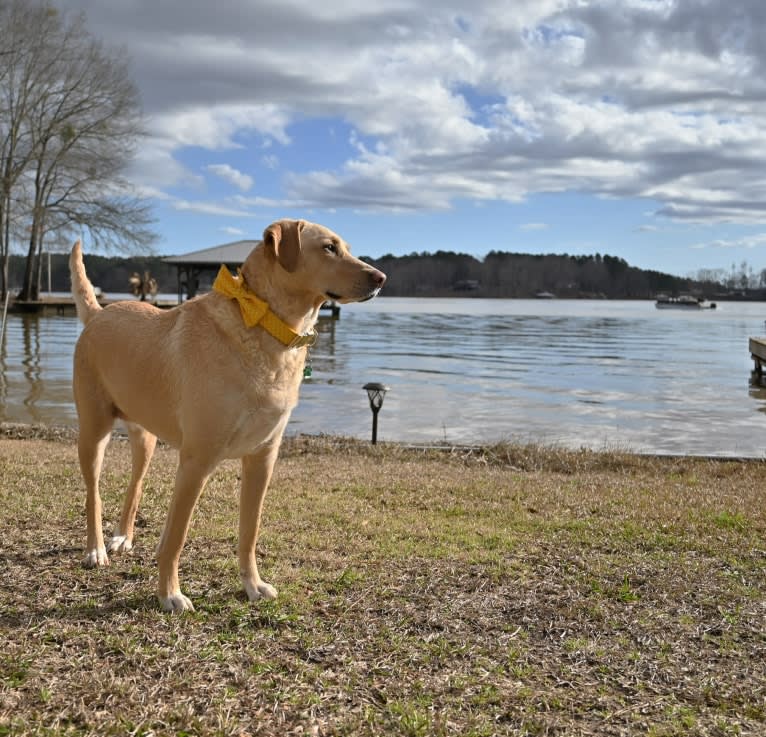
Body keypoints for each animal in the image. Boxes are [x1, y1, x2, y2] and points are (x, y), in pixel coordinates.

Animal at [69, 218, 388, 608]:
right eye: (329, 247)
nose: (381, 278)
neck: (265, 324)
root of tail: (100, 313)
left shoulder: (262, 458)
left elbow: (249, 532)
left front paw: (253, 585)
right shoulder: (197, 460)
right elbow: (177, 537)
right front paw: (170, 594)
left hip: (145, 438)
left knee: (135, 486)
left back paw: (124, 536)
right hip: (93, 432)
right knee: (93, 494)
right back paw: (96, 549)